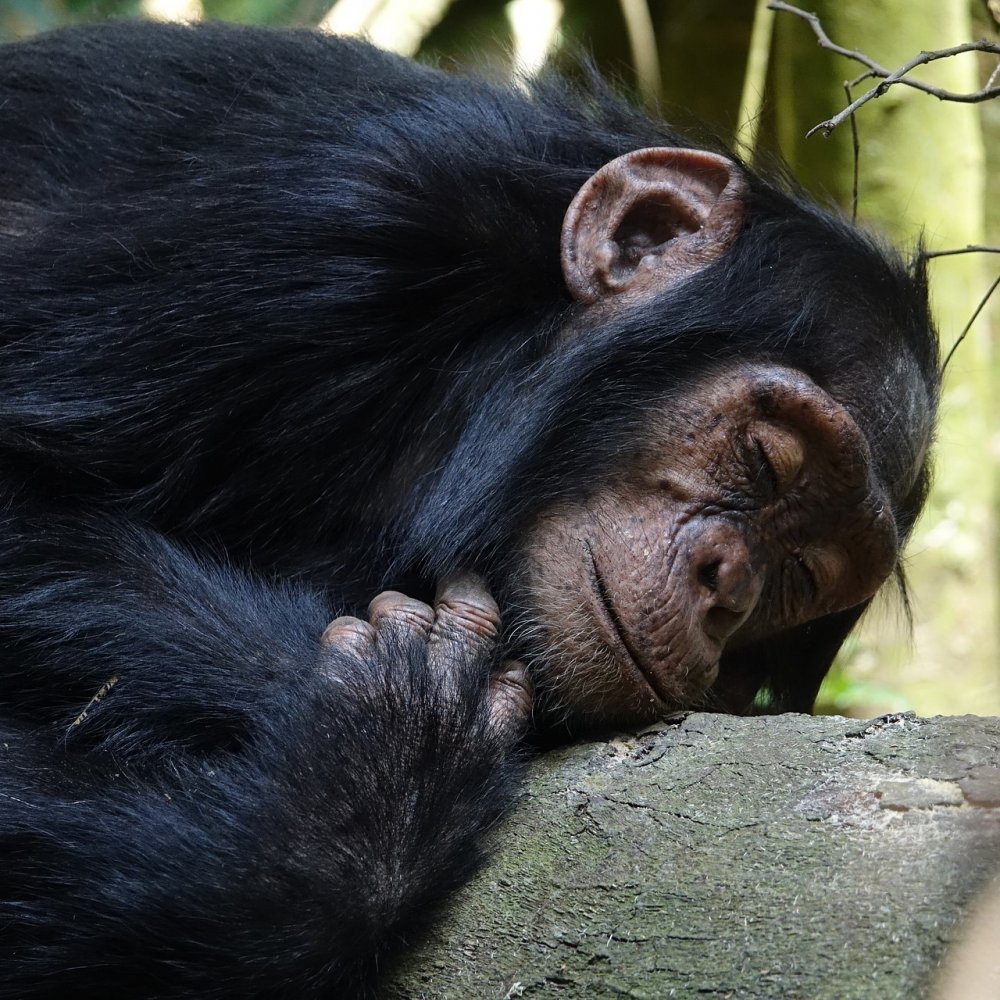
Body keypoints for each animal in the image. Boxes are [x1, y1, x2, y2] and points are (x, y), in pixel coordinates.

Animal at [0, 17, 936, 1000]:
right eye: (765, 458)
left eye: (801, 574)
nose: (728, 584)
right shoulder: (341, 220)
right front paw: (392, 742)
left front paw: (363, 805)